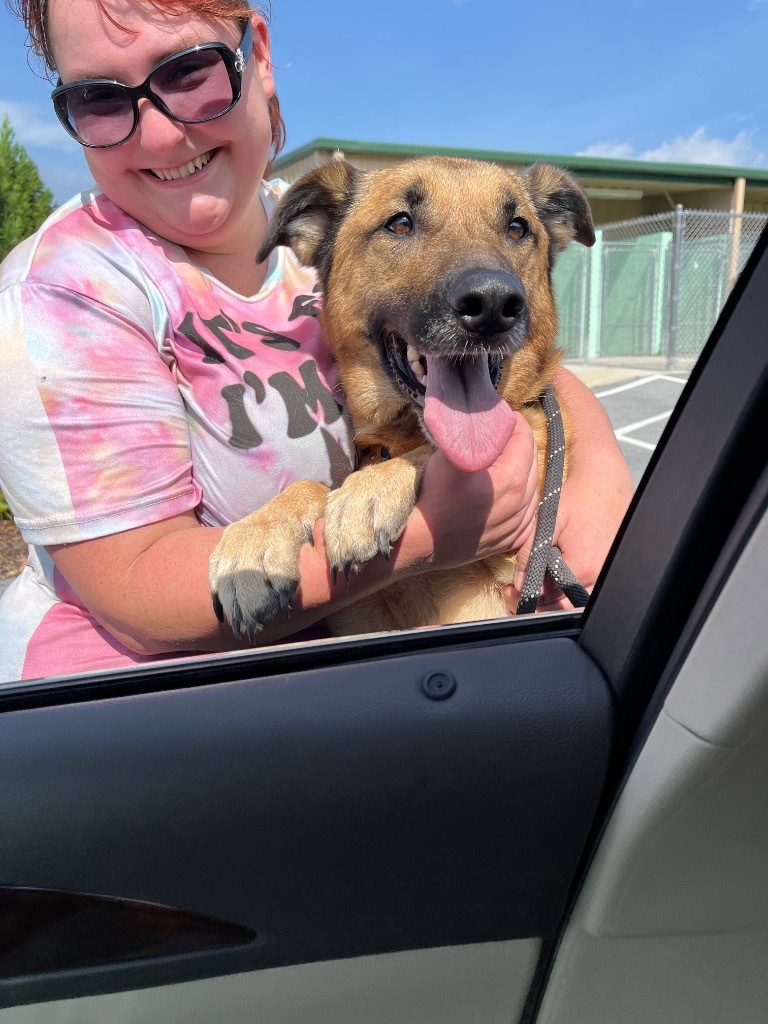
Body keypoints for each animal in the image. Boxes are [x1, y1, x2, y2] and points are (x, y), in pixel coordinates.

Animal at [208, 154, 593, 634]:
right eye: (400, 223)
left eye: (517, 228)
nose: (492, 305)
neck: (399, 434)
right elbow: (309, 485)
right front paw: (254, 539)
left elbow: (432, 453)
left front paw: (366, 493)